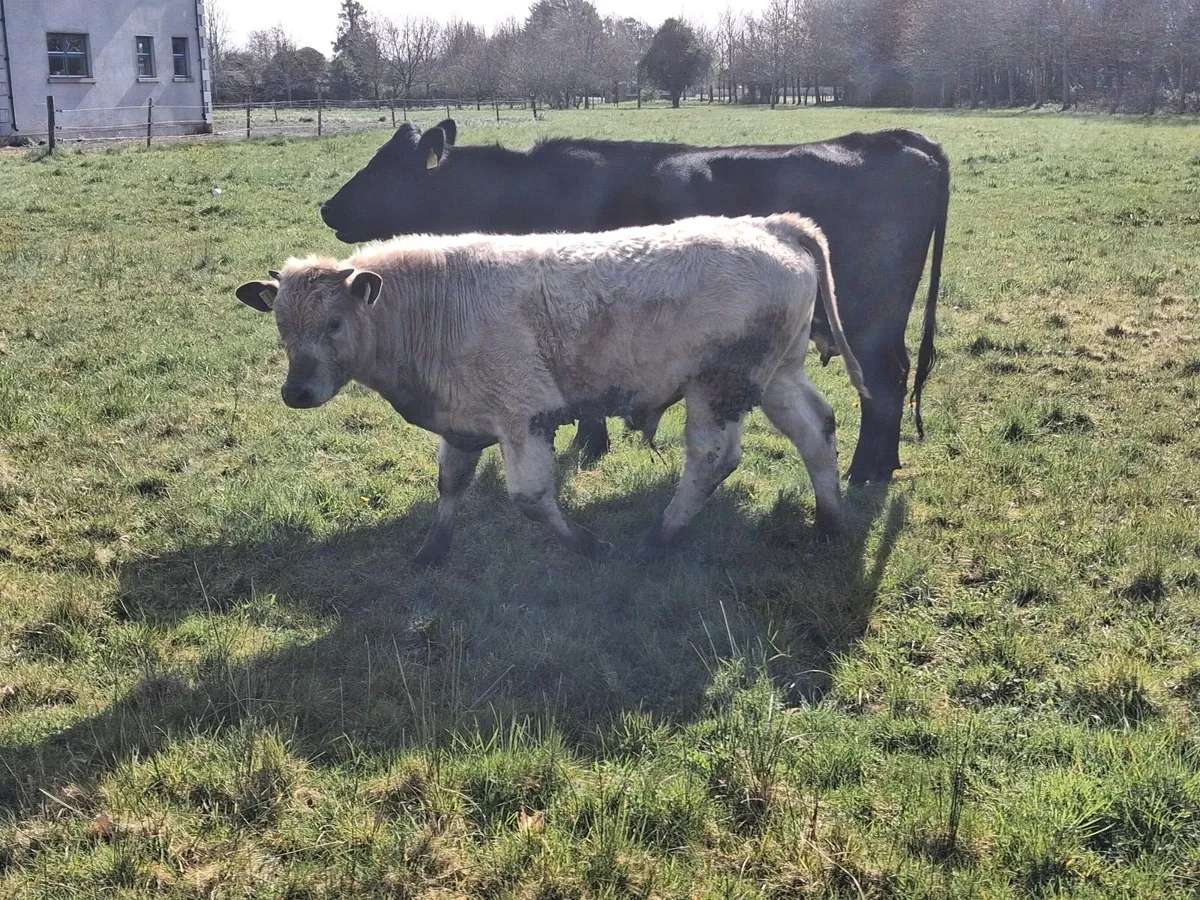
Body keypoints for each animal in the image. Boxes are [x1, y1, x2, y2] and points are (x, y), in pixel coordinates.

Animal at [235, 214, 868, 567]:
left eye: (333, 323)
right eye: (281, 325)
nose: (296, 392)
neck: (433, 304)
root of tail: (769, 224)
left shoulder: (525, 417)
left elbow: (531, 499)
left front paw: (586, 545)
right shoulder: (462, 420)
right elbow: (450, 486)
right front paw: (431, 552)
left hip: (720, 384)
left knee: (712, 459)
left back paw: (659, 539)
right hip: (779, 375)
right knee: (817, 430)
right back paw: (831, 522)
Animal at [318, 119, 949, 486]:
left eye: (386, 170)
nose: (327, 206)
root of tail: (895, 137)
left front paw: (588, 442)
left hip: (871, 320)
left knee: (885, 381)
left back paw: (867, 471)